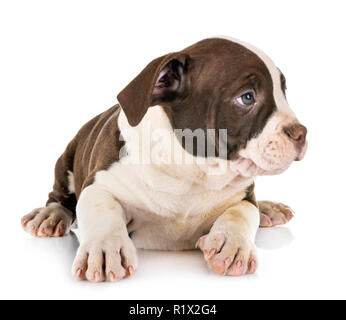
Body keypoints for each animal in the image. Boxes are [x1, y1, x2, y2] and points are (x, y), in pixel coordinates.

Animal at [21, 38, 306, 282]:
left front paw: (232, 244)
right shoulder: (100, 182)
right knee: (61, 196)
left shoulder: (243, 195)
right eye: (247, 97)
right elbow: (100, 207)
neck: (193, 171)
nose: (301, 133)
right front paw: (104, 248)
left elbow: (243, 212)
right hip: (67, 158)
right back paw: (50, 215)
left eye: (283, 92)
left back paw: (268, 208)